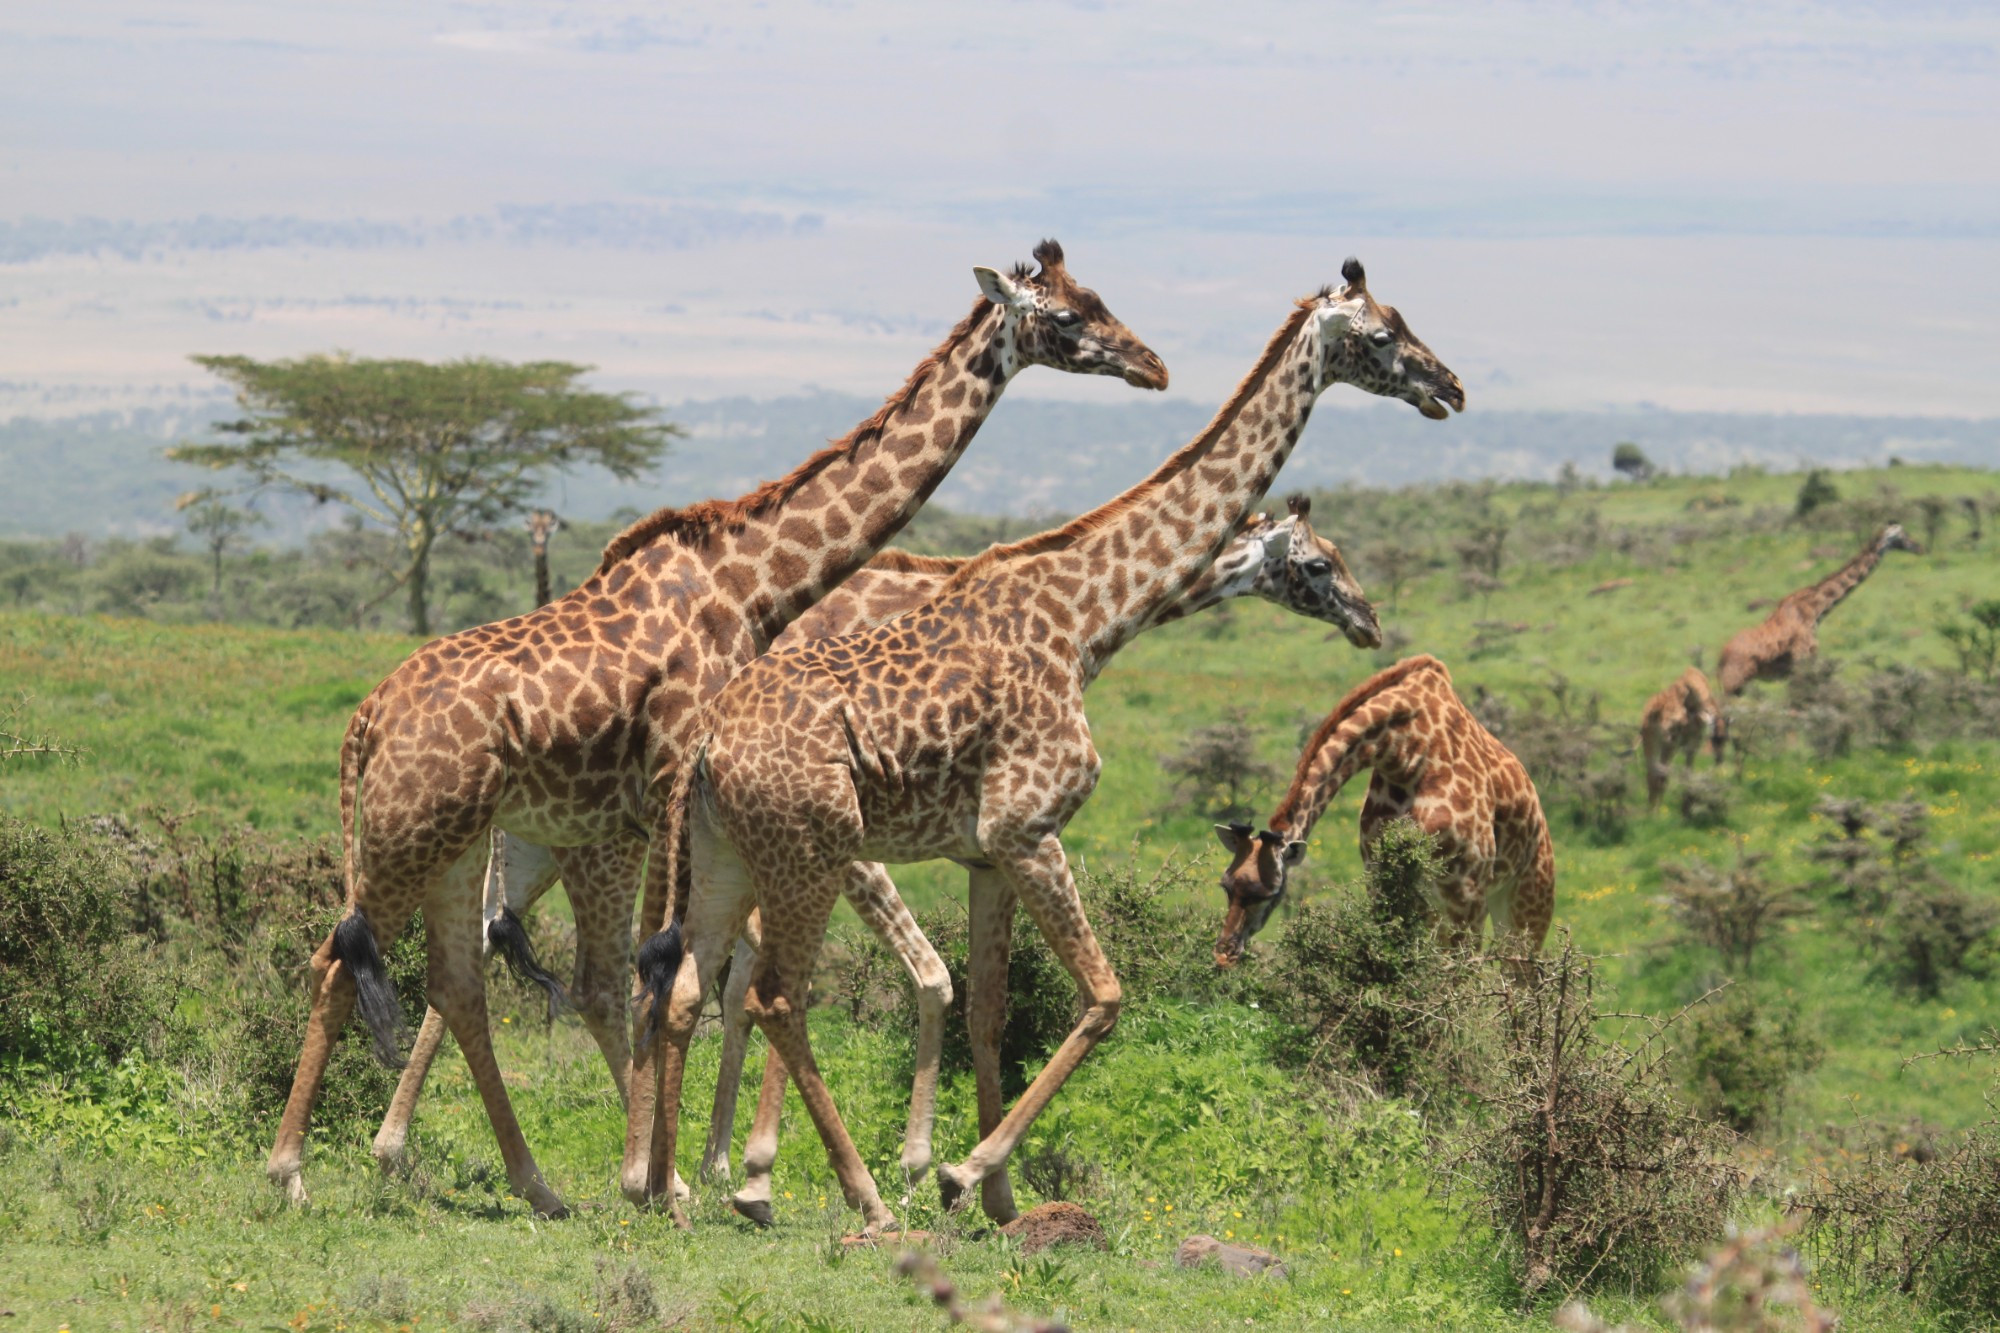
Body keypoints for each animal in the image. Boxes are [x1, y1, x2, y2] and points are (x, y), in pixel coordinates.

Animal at [628, 260, 1472, 1224]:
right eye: (1382, 335)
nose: (1451, 387)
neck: (1088, 617)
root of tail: (705, 743)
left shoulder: (985, 854)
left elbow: (988, 1011)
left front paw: (997, 1198)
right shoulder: (1029, 829)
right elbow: (1104, 996)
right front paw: (961, 1171)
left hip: (726, 853)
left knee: (686, 982)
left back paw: (669, 1191)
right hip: (811, 851)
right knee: (771, 994)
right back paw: (836, 1194)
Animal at [1208, 652, 1552, 964]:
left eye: (1268, 892)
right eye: (1226, 886)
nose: (1224, 953)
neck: (1405, 753)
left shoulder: (1466, 892)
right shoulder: (1382, 881)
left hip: (1527, 900)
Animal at [1640, 660, 1720, 804]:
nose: (1712, 715)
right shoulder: (1691, 746)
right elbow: (1688, 773)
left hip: (1652, 746)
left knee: (1653, 776)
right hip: (1668, 747)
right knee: (1660, 777)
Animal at [1720, 520, 1920, 696]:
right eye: (1903, 535)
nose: (1919, 547)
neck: (1814, 610)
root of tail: (1720, 659)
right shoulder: (1803, 661)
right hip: (1734, 684)